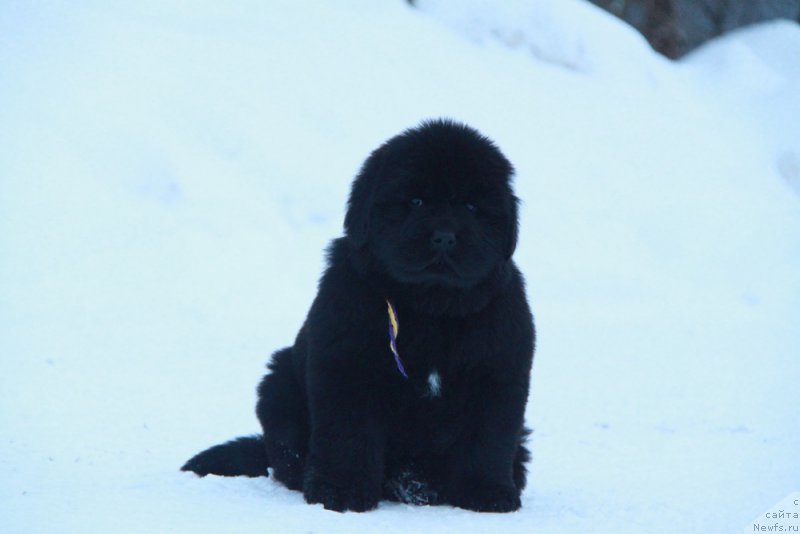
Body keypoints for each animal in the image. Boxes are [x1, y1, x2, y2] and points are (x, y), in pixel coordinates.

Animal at [184, 120, 536, 516]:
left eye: (473, 207)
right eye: (415, 201)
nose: (444, 237)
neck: (430, 309)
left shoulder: (496, 374)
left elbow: (487, 439)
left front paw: (487, 493)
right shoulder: (348, 369)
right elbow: (349, 436)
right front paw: (341, 491)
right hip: (278, 387)